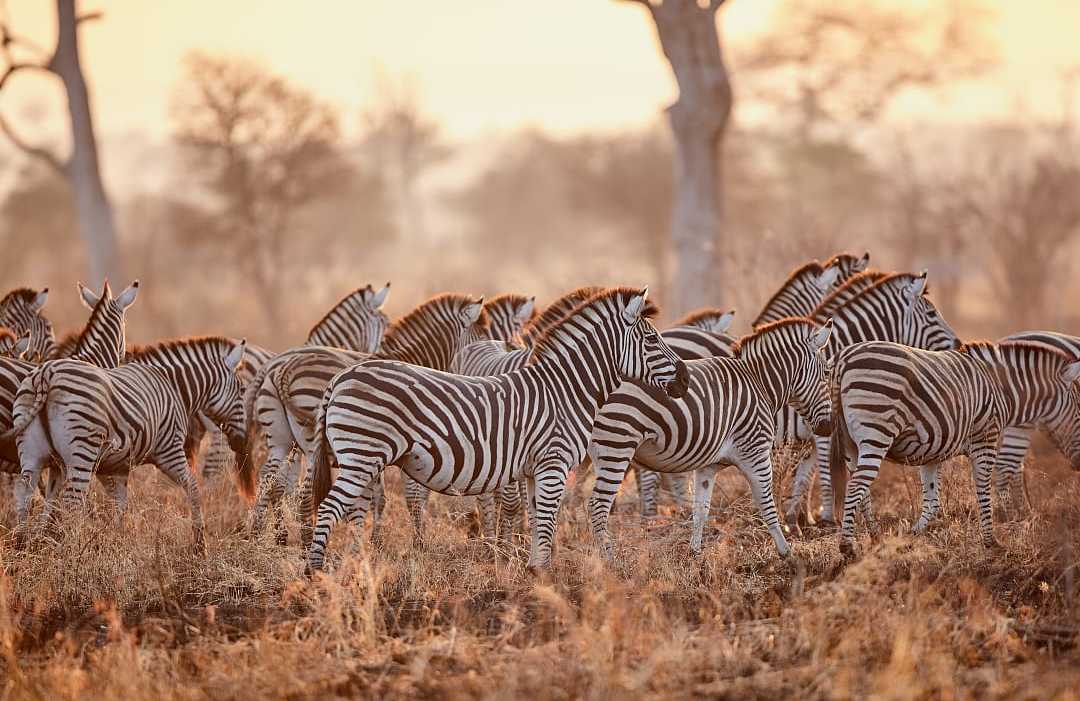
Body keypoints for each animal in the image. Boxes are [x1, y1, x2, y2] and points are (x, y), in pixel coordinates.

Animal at [7, 337, 249, 547]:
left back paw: (24, 543)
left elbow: (119, 505)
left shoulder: (117, 465)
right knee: (72, 501)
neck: (176, 388)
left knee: (25, 492)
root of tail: (46, 373)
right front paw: (200, 544)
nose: (242, 442)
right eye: (242, 390)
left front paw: (117, 540)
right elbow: (193, 487)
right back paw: (68, 551)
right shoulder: (169, 450)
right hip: (82, 451)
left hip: (33, 451)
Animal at [304, 287, 690, 572]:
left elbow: (536, 518)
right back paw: (315, 574)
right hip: (361, 456)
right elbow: (545, 519)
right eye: (652, 341)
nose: (686, 380)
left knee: (348, 508)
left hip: (360, 458)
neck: (565, 389)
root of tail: (342, 376)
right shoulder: (553, 463)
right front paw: (543, 576)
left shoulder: (535, 469)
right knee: (329, 508)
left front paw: (534, 568)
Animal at [588, 318, 833, 559]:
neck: (759, 382)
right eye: (826, 374)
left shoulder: (709, 466)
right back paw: (609, 561)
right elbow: (767, 503)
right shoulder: (756, 452)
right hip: (617, 445)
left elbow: (701, 509)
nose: (828, 428)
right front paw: (786, 552)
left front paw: (695, 553)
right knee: (598, 505)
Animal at [827, 340, 1080, 558]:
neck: (1001, 389)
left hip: (849, 443)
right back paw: (847, 546)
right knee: (856, 486)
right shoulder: (985, 439)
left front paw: (909, 538)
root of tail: (843, 359)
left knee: (861, 491)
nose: (1078, 465)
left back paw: (875, 538)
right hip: (876, 433)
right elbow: (983, 491)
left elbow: (933, 502)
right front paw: (991, 542)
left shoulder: (931, 452)